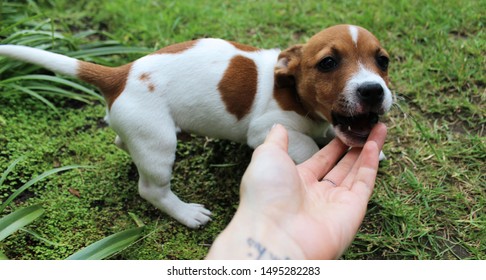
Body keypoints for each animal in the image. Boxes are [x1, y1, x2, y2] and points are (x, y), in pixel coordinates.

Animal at [0, 25, 392, 229]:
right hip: (158, 145)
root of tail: (120, 74)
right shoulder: (266, 131)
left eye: (383, 61)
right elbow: (310, 147)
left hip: (140, 131)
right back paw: (186, 213)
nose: (373, 90)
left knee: (121, 140)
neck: (293, 89)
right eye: (328, 63)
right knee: (151, 189)